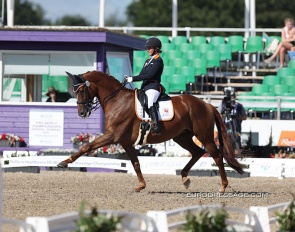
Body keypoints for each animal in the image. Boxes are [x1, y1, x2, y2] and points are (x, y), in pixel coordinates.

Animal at [57, 70, 243, 192]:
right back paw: (185, 178)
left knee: (217, 156)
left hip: (204, 135)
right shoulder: (125, 142)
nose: (82, 113)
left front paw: (64, 162)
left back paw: (223, 187)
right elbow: (136, 163)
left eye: (81, 90)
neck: (117, 100)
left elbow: (86, 146)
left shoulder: (113, 136)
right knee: (197, 152)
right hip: (182, 137)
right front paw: (141, 186)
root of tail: (207, 104)